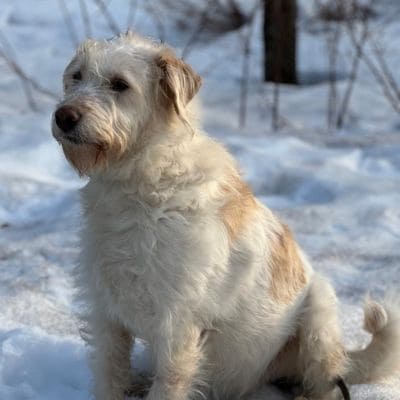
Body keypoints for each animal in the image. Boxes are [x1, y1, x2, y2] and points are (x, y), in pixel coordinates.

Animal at [52, 32, 400, 400]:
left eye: (119, 84)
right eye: (76, 76)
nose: (64, 116)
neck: (141, 184)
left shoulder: (177, 326)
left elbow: (169, 382)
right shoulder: (107, 316)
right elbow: (110, 372)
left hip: (319, 315)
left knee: (325, 382)